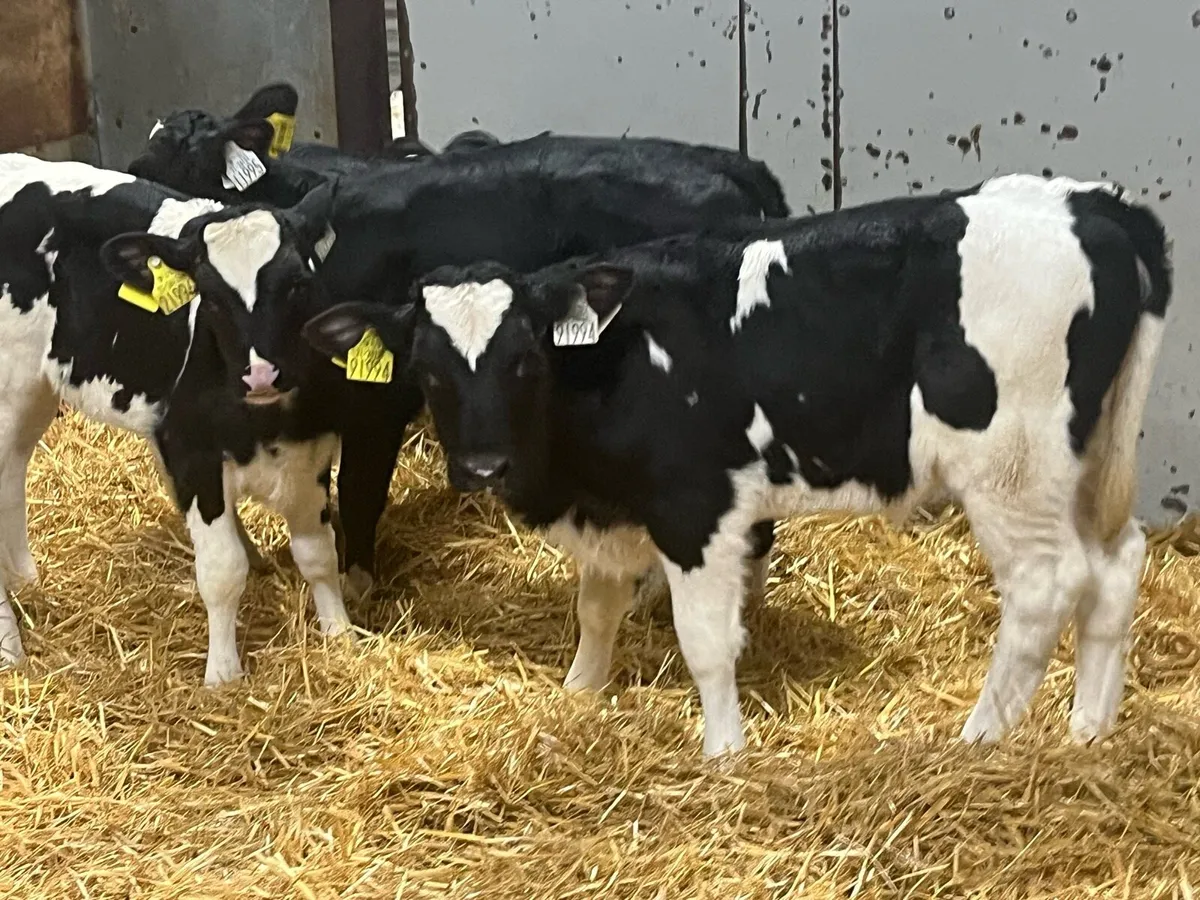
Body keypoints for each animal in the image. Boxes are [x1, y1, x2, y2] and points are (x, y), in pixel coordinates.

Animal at [0, 154, 350, 686]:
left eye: (298, 283)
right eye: (210, 295)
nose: (262, 374)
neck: (264, 426)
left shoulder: (311, 447)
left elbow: (318, 552)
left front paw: (340, 633)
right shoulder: (192, 452)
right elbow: (222, 570)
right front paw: (223, 675)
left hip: (33, 391)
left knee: (12, 475)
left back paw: (26, 581)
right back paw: (8, 645)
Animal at [302, 174, 1171, 757]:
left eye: (524, 359)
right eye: (428, 370)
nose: (482, 466)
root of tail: (1091, 202)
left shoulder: (697, 511)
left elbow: (705, 641)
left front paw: (723, 751)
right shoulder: (614, 509)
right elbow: (598, 607)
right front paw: (581, 691)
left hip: (1011, 470)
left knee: (1046, 586)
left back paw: (980, 737)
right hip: (1082, 465)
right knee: (1117, 565)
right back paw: (1089, 731)